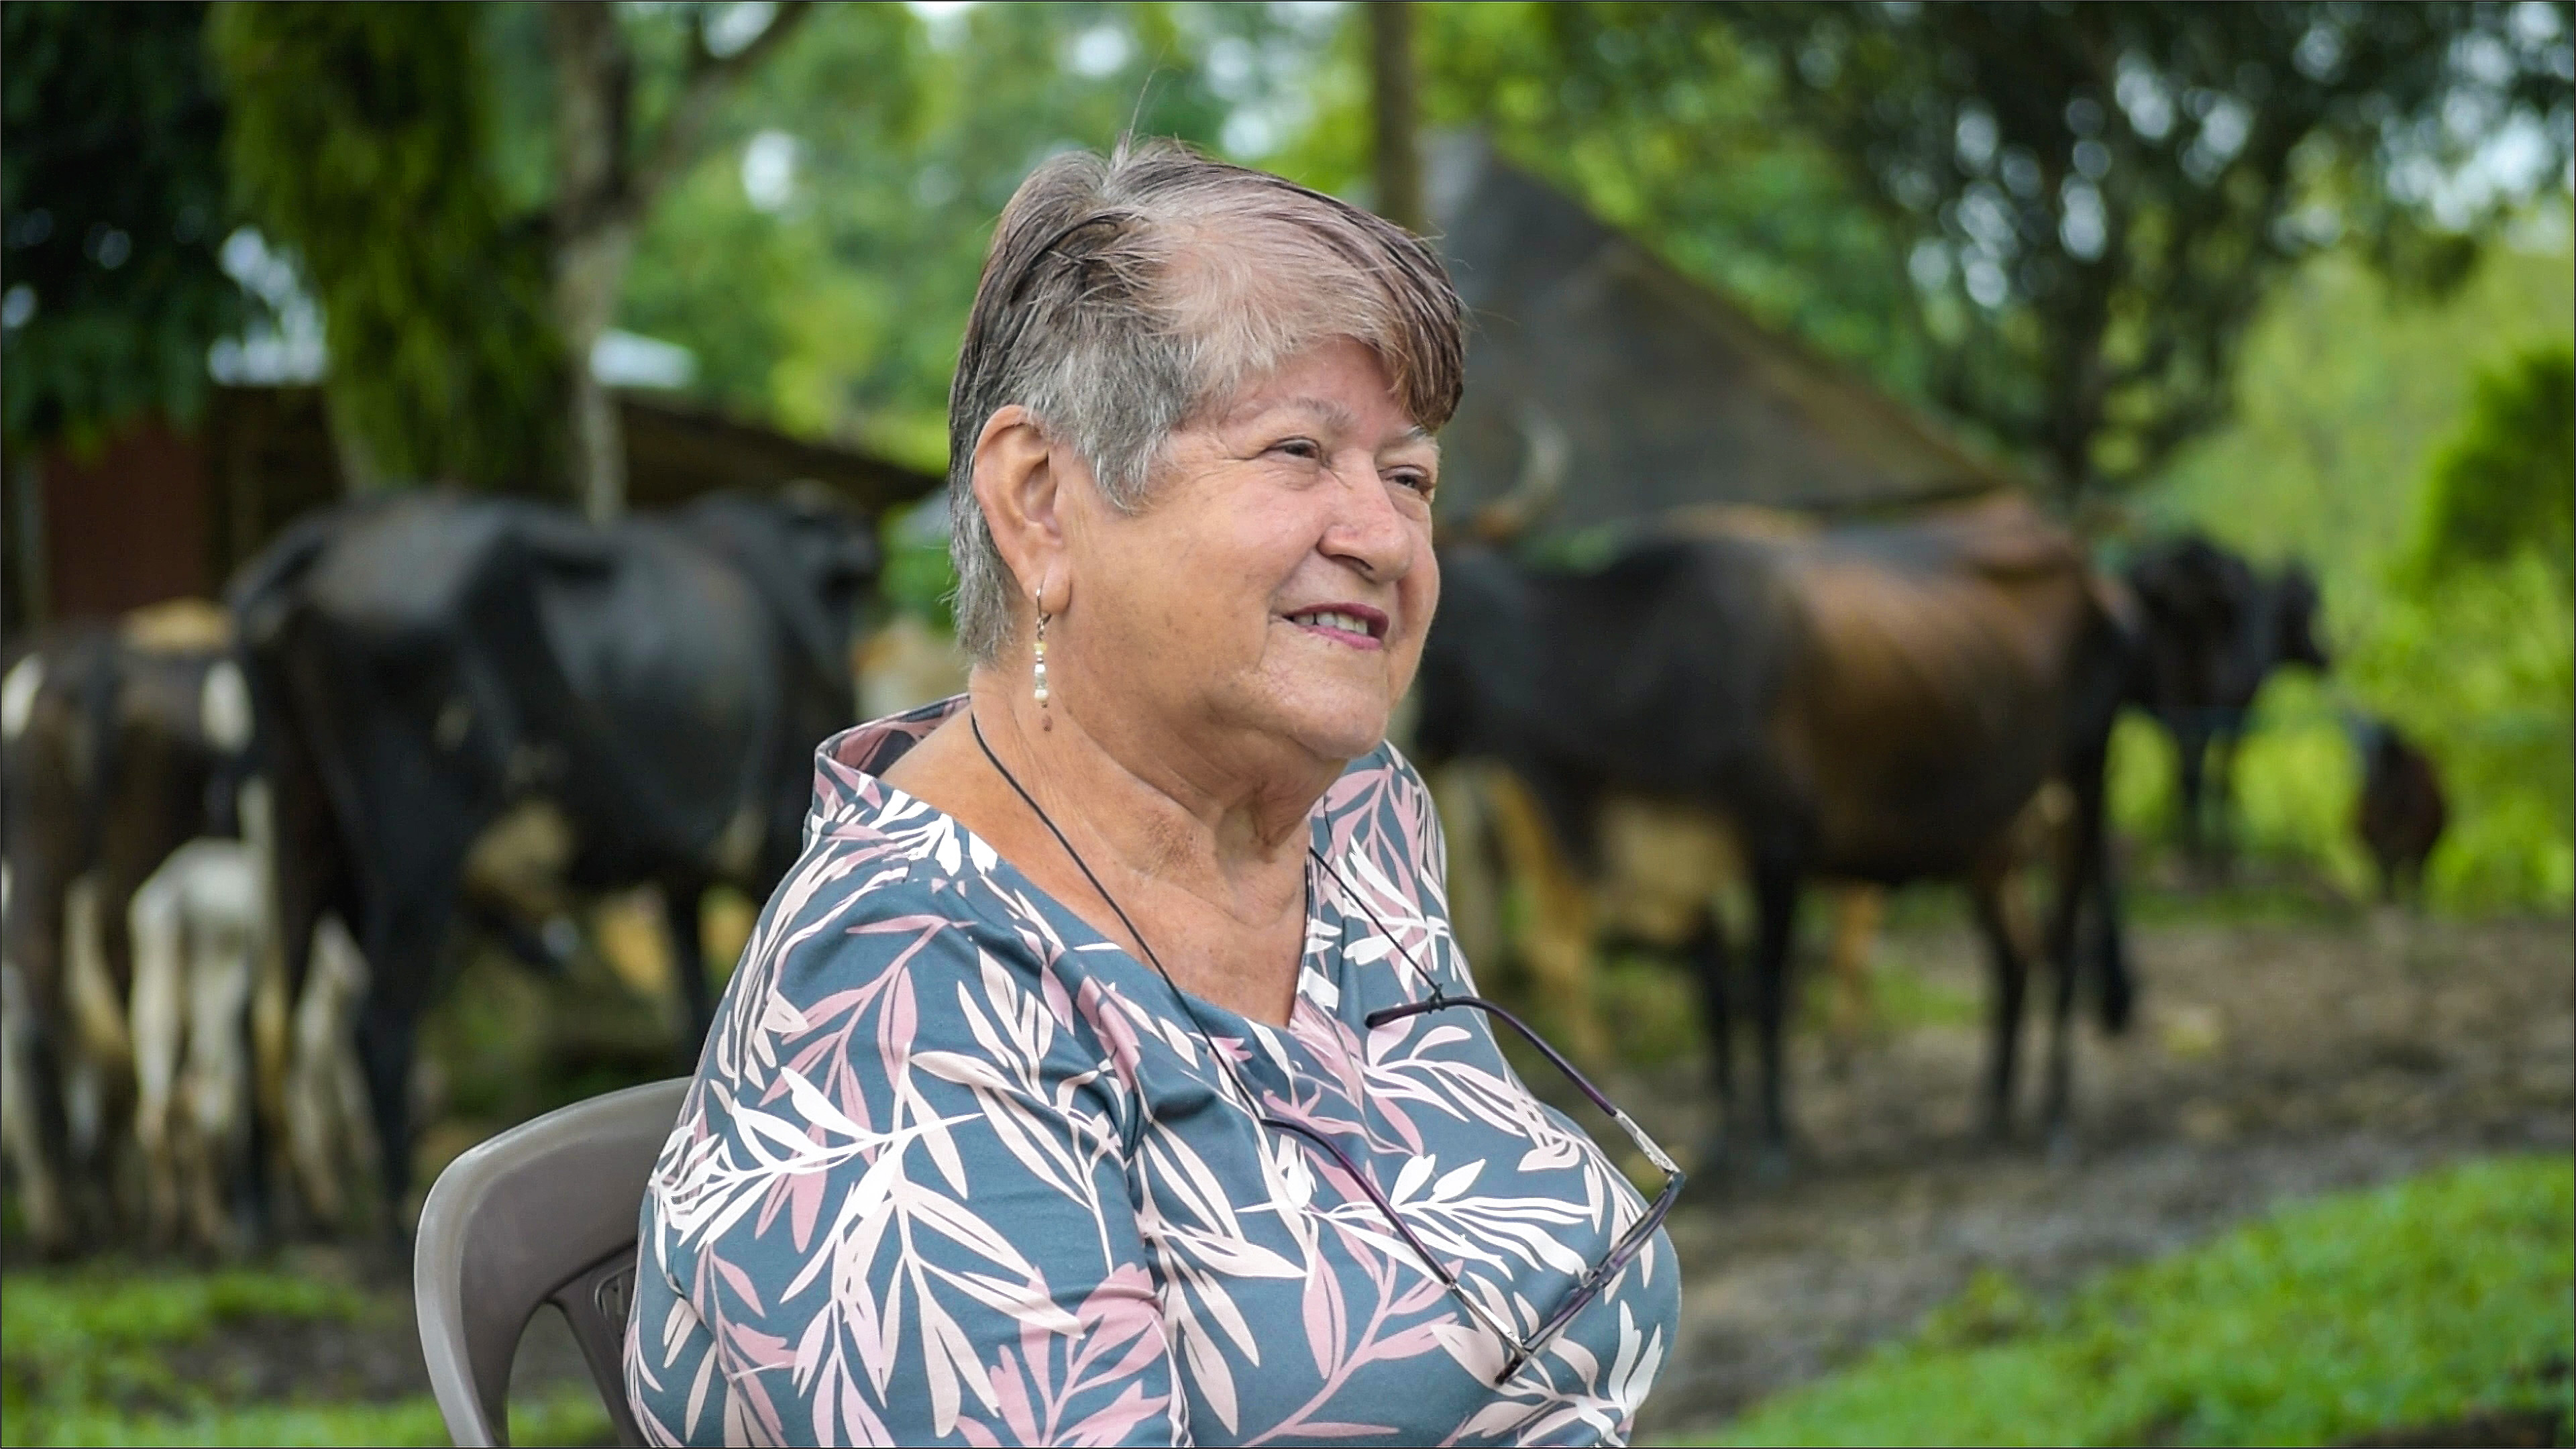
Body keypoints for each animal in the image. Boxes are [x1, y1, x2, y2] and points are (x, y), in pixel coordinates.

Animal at [241, 490, 885, 1212]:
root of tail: (336, 531)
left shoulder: (680, 876)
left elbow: (700, 1010)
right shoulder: (773, 841)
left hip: (301, 820)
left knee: (264, 1012)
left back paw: (267, 1216)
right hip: (416, 855)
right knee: (377, 1026)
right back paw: (395, 1211)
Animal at [1411, 494, 2133, 1175]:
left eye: (1438, 640)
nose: (1421, 741)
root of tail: (2083, 563)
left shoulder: (1777, 847)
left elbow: (1765, 991)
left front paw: (1775, 1142)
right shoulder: (1685, 860)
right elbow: (1715, 996)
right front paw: (1724, 1137)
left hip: (2083, 778)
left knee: (2066, 945)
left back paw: (2055, 1117)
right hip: (1991, 834)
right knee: (2015, 956)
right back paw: (1993, 1110)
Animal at [2112, 531, 2339, 866]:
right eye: (2309, 608)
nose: (2326, 658)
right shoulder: (2236, 711)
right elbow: (2224, 774)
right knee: (2193, 769)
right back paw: (2198, 848)